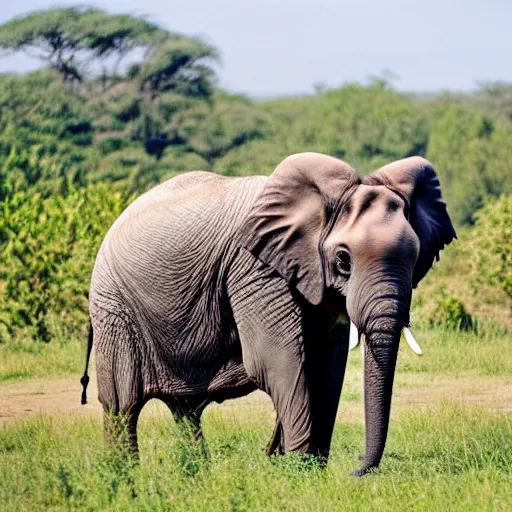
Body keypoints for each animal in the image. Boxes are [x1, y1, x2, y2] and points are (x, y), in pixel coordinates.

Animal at [81, 152, 456, 476]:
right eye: (344, 260)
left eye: (416, 258)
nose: (356, 472)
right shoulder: (254, 267)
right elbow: (276, 361)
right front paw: (300, 472)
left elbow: (326, 364)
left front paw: (310, 470)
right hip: (113, 308)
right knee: (122, 405)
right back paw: (124, 477)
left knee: (185, 409)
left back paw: (197, 476)